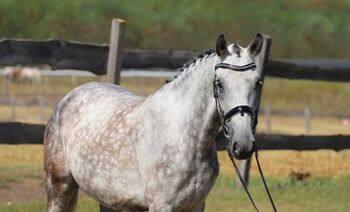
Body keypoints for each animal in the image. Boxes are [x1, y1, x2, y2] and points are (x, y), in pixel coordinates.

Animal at [43, 34, 262, 211]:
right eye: (219, 83)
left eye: (258, 82)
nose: (243, 144)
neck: (184, 136)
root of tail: (68, 98)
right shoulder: (161, 205)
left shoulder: (197, 205)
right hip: (59, 188)